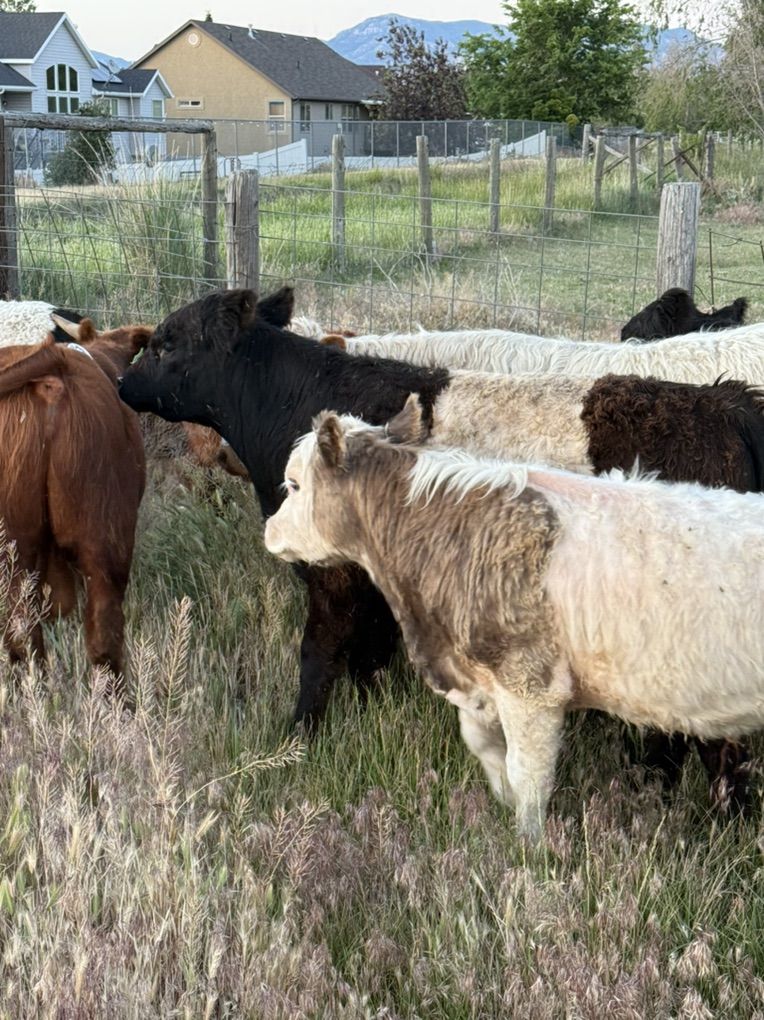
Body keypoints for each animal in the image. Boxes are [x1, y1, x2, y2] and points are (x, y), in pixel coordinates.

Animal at [263, 398, 764, 842]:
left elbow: (529, 775)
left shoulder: (530, 685)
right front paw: (500, 801)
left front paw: (529, 845)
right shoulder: (478, 681)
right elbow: (485, 748)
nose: (269, 530)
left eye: (294, 485)